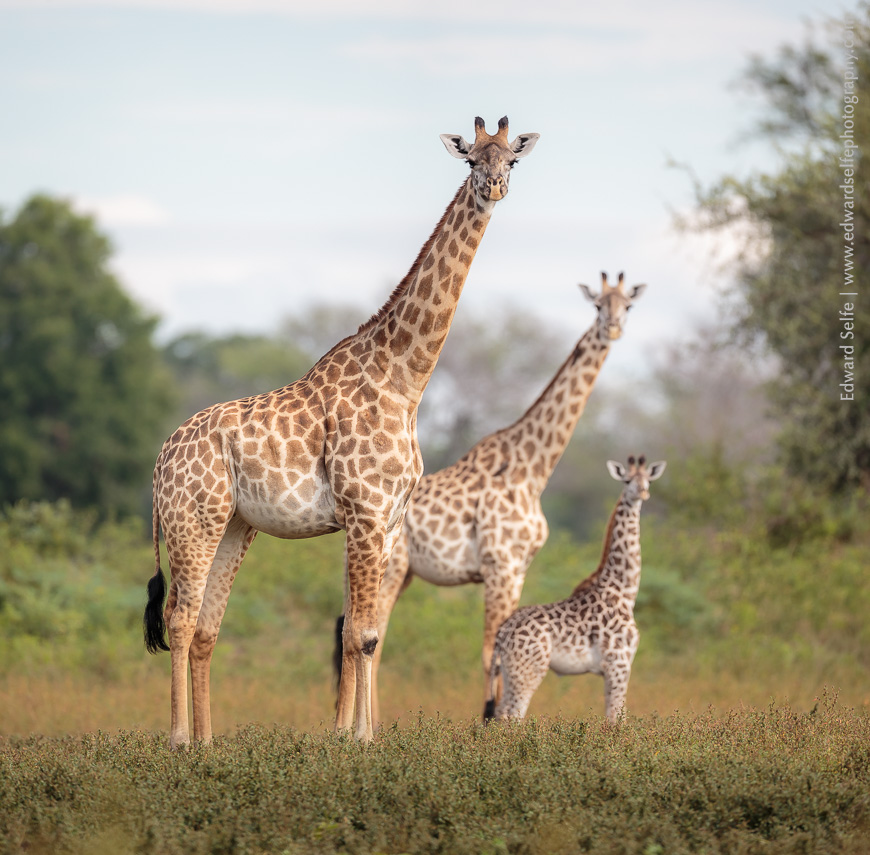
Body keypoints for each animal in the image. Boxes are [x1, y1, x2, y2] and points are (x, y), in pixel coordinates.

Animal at [142, 116, 540, 747]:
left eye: (513, 160)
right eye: (471, 159)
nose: (495, 187)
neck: (405, 381)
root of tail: (159, 460)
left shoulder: (388, 520)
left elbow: (367, 632)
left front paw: (360, 737)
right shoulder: (365, 512)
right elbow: (359, 635)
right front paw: (356, 739)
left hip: (234, 526)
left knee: (206, 628)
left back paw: (207, 744)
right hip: (191, 521)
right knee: (179, 622)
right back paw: (179, 741)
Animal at [334, 272, 646, 725]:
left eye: (628, 305)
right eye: (597, 305)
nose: (614, 328)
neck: (532, 469)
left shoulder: (519, 569)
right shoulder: (500, 565)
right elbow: (487, 653)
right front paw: (487, 718)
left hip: (390, 570)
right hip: (393, 566)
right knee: (377, 634)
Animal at [487, 455, 666, 723]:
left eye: (648, 480)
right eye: (627, 480)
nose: (643, 492)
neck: (624, 591)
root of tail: (502, 633)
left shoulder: (615, 667)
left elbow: (612, 717)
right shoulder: (619, 663)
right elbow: (617, 718)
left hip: (510, 672)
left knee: (499, 716)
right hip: (529, 669)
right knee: (513, 716)